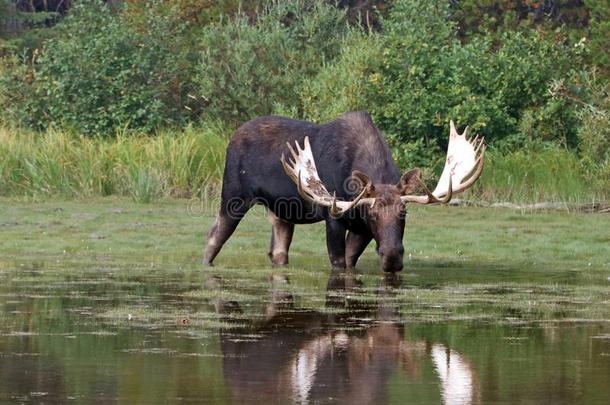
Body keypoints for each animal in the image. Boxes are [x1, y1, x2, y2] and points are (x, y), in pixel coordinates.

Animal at [204, 110, 484, 272]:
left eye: (404, 213)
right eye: (372, 213)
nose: (392, 256)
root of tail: (231, 138)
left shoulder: (362, 230)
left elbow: (351, 262)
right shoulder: (334, 217)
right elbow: (339, 263)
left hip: (280, 213)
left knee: (277, 252)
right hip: (233, 197)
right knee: (212, 239)